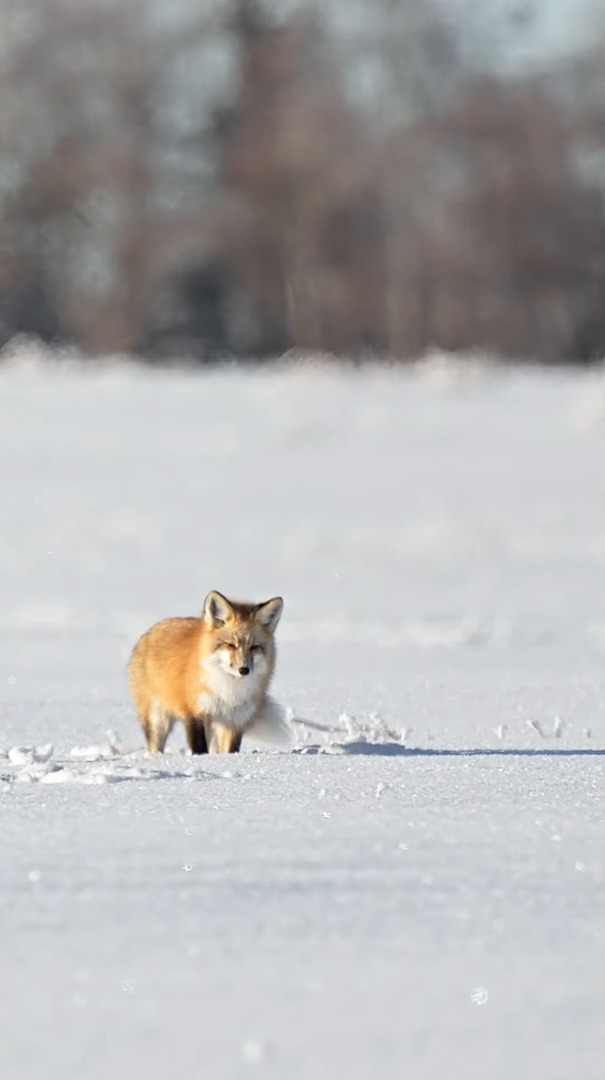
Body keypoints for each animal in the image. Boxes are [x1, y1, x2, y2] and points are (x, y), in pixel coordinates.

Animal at [127, 591, 283, 751]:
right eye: (230, 645)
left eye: (254, 647)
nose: (244, 670)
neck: (229, 692)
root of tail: (150, 631)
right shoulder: (195, 712)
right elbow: (199, 749)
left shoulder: (235, 721)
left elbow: (230, 750)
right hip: (158, 719)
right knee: (155, 747)